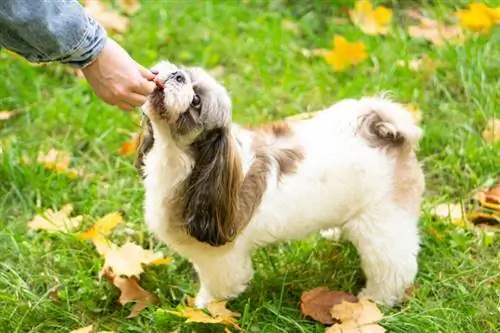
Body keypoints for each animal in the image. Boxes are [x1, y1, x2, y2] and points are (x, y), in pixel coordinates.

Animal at [137, 61, 426, 308]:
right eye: (181, 70)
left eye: (196, 101)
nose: (177, 75)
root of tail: (386, 136)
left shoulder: (221, 260)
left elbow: (218, 288)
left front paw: (203, 307)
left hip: (382, 223)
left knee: (394, 267)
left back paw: (376, 299)